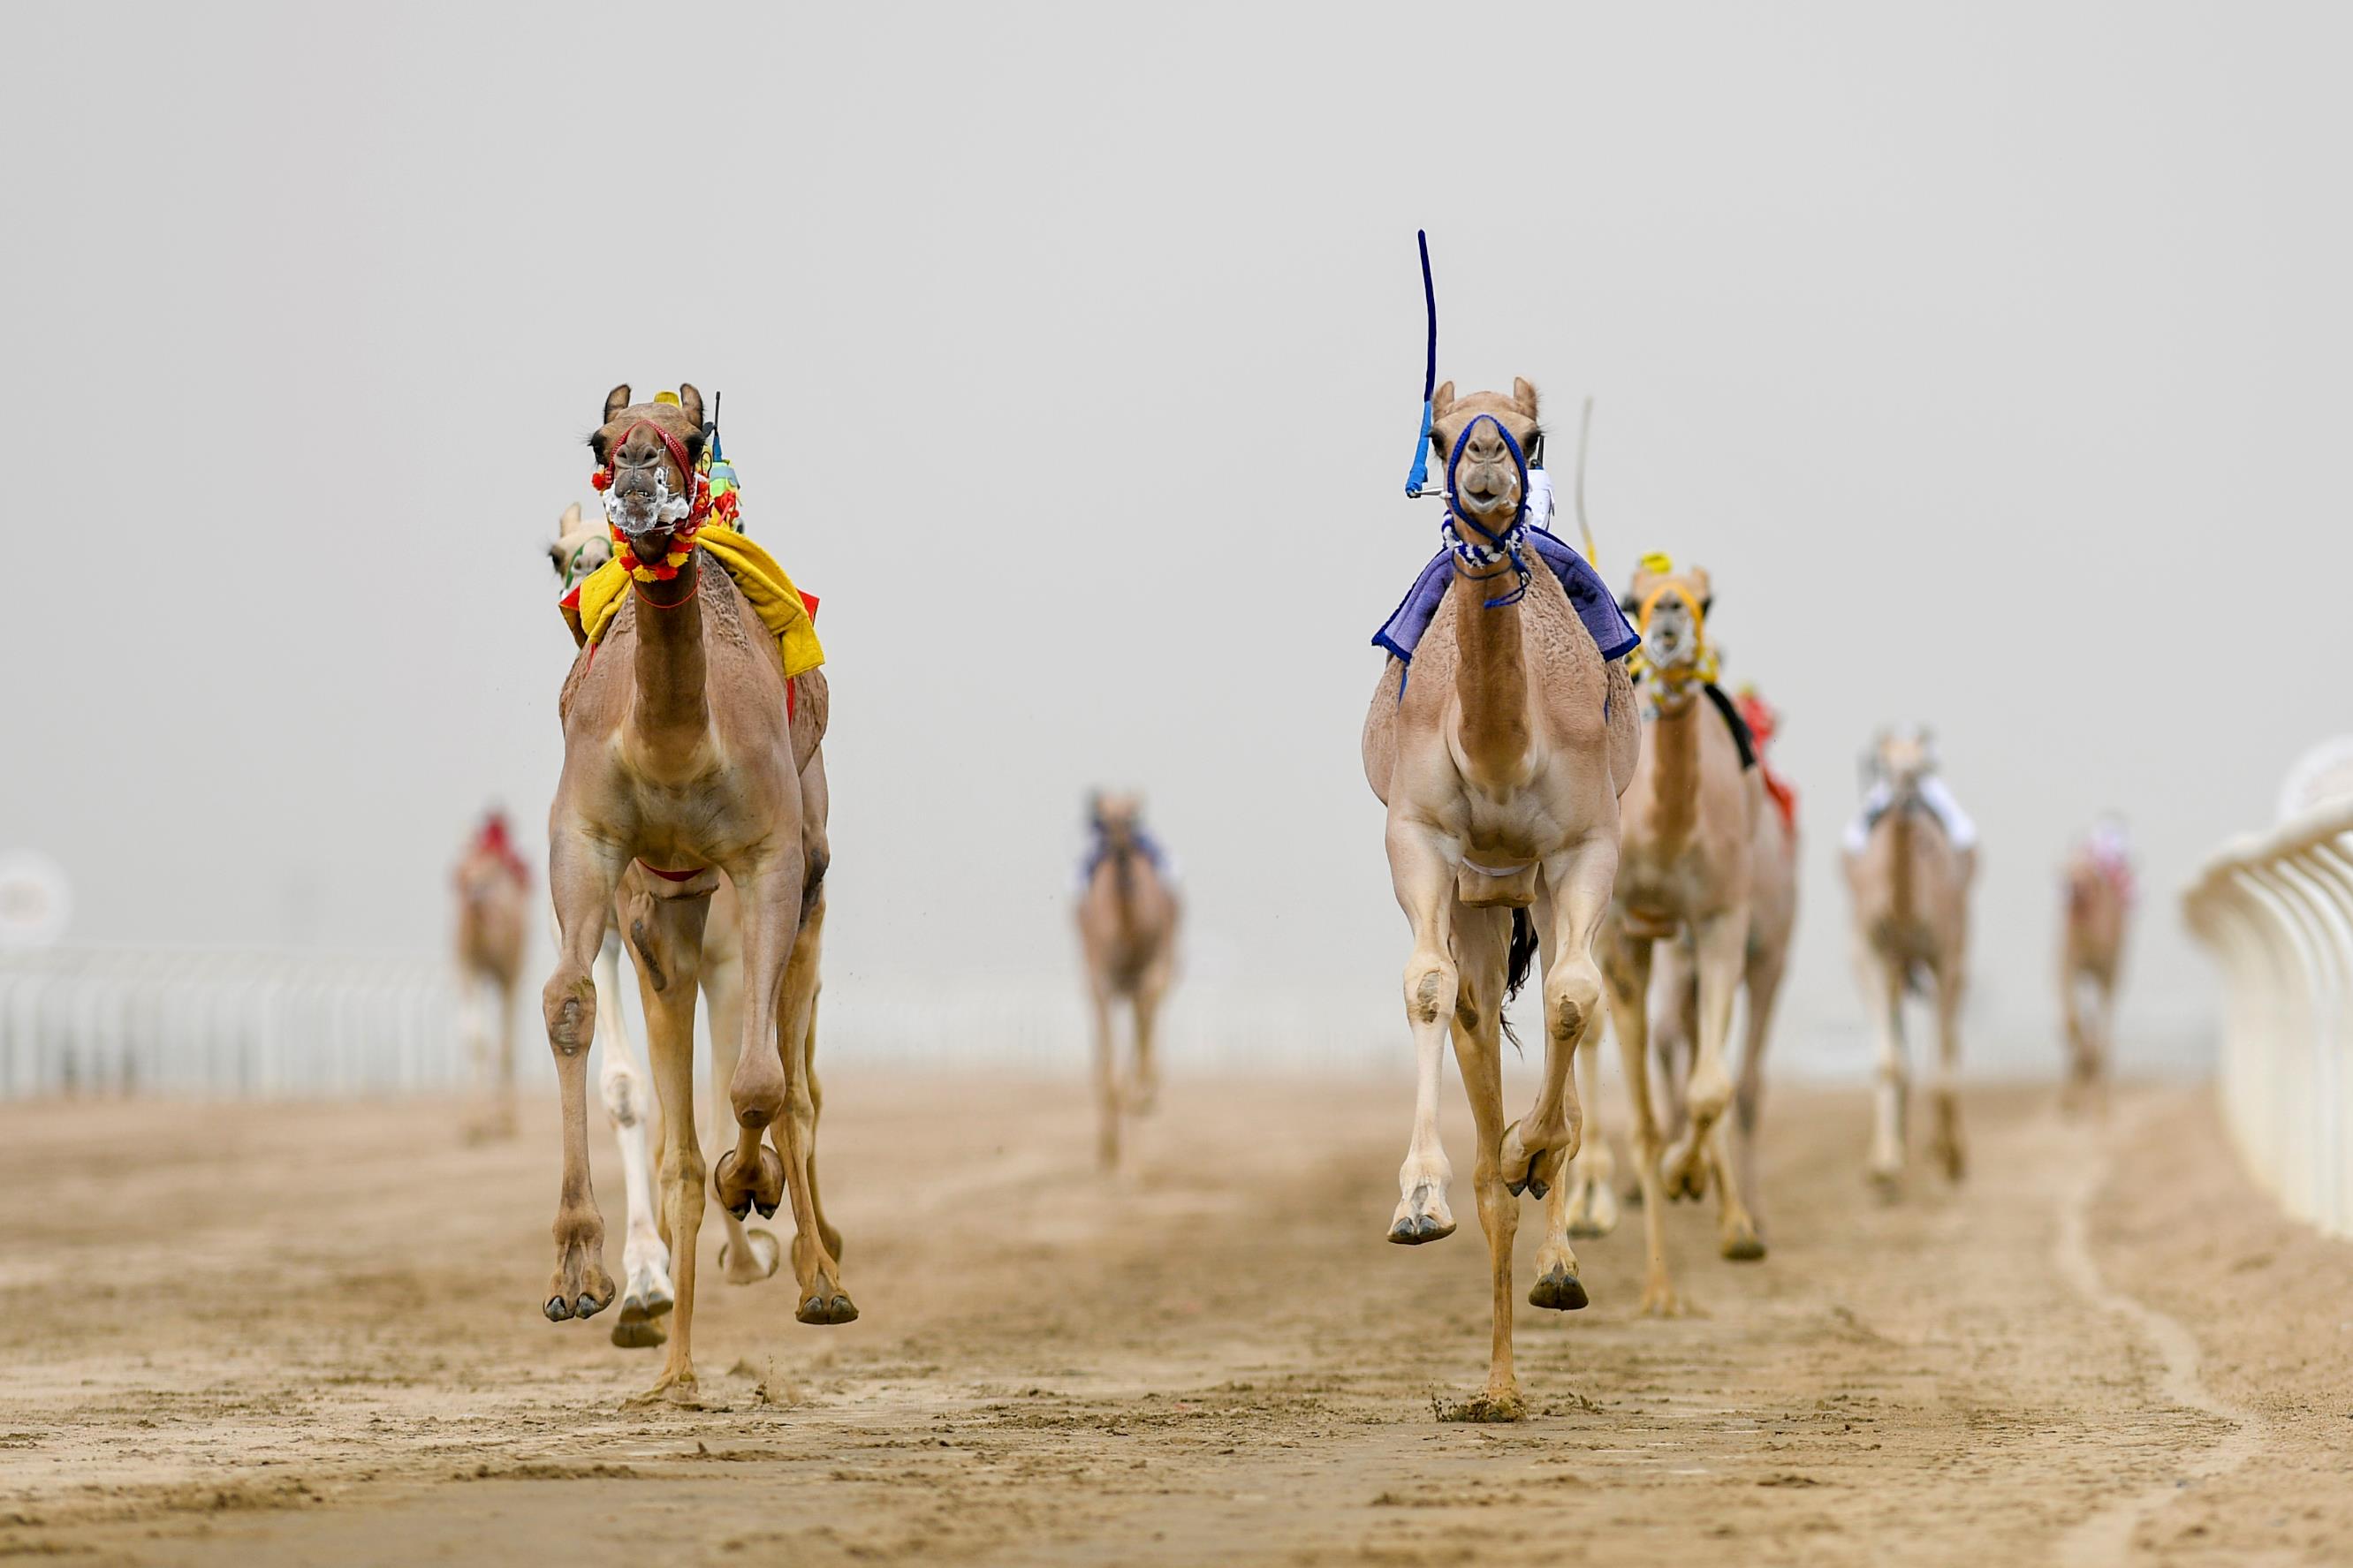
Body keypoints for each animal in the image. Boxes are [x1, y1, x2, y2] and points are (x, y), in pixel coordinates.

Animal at [540, 384, 845, 1403]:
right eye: (599, 440)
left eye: (694, 432)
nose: (637, 473)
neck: (674, 742)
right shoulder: (596, 857)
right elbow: (571, 1013)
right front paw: (587, 1275)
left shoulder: (768, 858)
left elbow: (758, 1080)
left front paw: (749, 1192)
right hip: (673, 912)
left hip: (805, 889)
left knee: (794, 1082)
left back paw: (817, 1274)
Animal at [1075, 792, 1179, 1168]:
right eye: (1103, 818)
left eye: (1133, 816)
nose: (1121, 851)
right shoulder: (1103, 979)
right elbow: (1107, 1064)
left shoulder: (1151, 969)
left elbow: (1147, 1010)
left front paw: (1143, 1094)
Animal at [1362, 377, 1639, 1419]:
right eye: (1439, 433)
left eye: (1532, 432)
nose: (1484, 459)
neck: (1498, 751)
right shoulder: (1419, 839)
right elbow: (1427, 989)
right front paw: (1415, 1202)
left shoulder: (1583, 848)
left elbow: (1572, 998)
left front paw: (1536, 1153)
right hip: (1483, 899)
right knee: (1476, 1018)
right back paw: (1497, 1382)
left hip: (1534, 891)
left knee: (1565, 1006)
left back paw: (1554, 1260)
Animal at [1844, 727, 1977, 1193]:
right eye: (1884, 765)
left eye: (1922, 768)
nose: (1904, 799)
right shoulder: (1871, 954)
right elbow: (1890, 1063)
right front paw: (1884, 1166)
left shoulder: (1947, 953)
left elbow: (1945, 1056)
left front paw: (1953, 1158)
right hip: (1892, 969)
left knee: (1949, 1039)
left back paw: (1945, 1148)